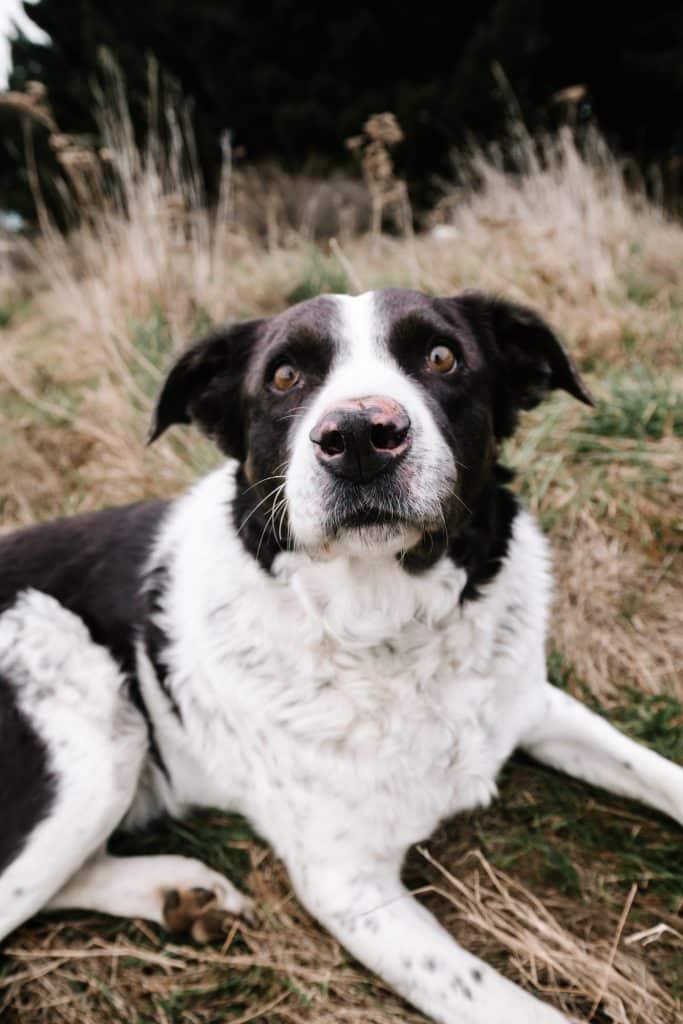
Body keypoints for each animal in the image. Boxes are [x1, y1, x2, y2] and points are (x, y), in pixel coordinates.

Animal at [1, 288, 681, 1024]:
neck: (391, 632)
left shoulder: (534, 705)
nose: (358, 436)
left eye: (441, 356)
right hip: (89, 713)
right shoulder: (350, 888)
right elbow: (504, 1004)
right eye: (283, 376)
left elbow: (654, 771)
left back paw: (180, 895)